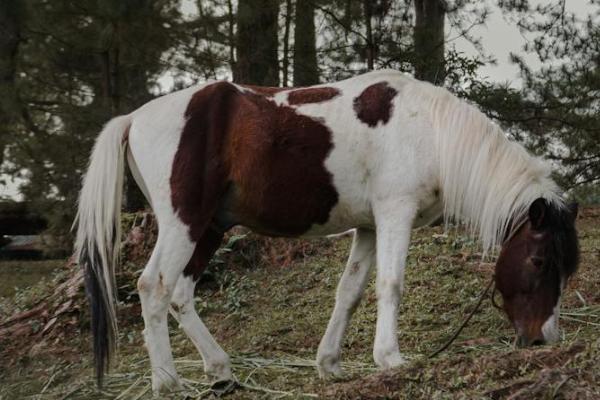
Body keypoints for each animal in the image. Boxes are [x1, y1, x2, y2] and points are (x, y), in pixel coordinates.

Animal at [72, 70, 580, 392]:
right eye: (539, 261)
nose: (542, 339)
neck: (431, 132)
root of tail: (134, 118)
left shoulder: (370, 226)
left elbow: (349, 293)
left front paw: (330, 364)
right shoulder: (394, 215)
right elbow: (390, 285)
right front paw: (390, 359)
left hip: (208, 228)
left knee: (179, 293)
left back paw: (221, 371)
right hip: (185, 223)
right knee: (153, 287)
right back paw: (167, 381)